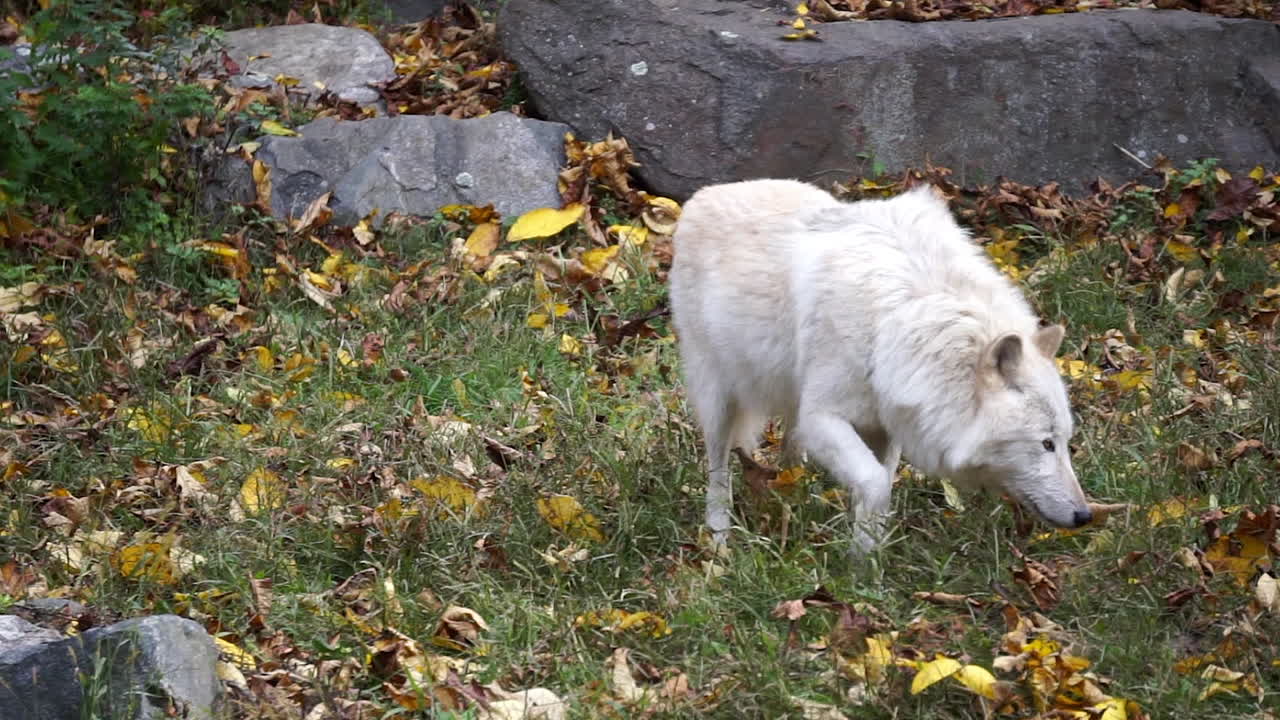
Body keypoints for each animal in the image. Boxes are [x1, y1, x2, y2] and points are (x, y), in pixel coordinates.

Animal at [668, 179, 1091, 551]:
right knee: (719, 470)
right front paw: (861, 563)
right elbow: (874, 483)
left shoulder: (887, 423)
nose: (1085, 516)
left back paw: (794, 492)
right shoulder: (822, 417)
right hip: (719, 400)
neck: (902, 322)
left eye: (1066, 442)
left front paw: (868, 559)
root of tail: (702, 196)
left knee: (790, 444)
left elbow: (882, 485)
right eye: (1046, 443)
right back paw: (719, 540)